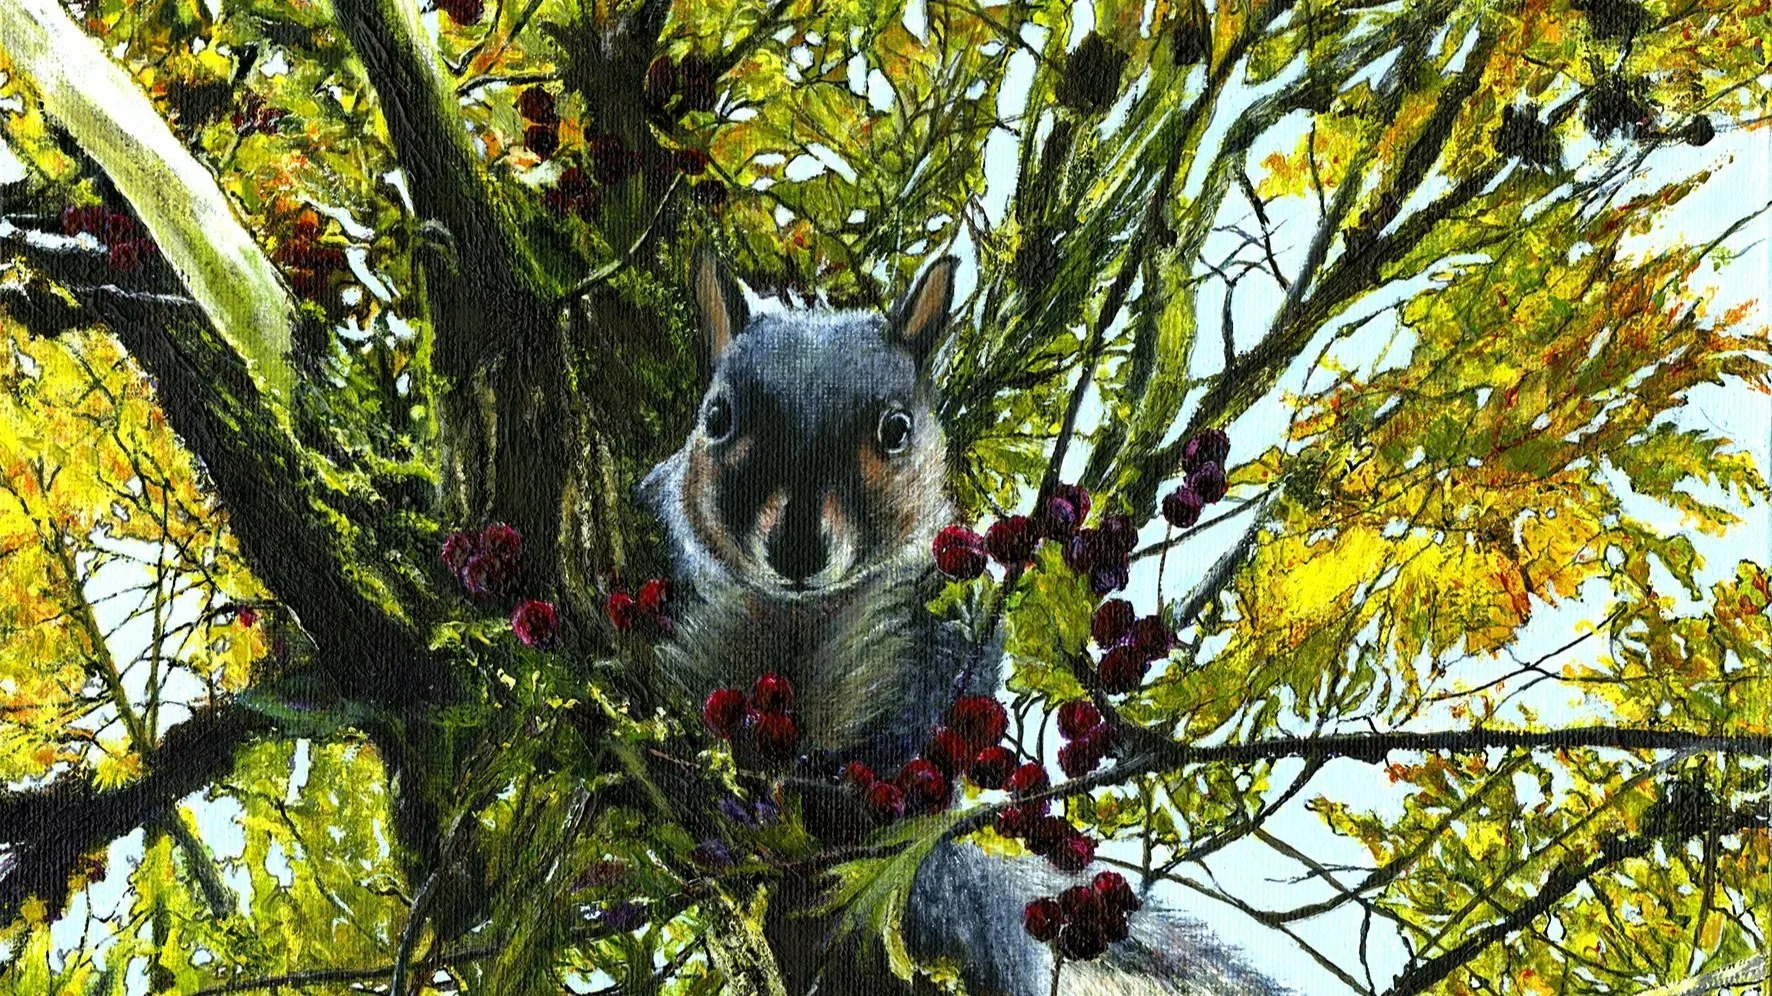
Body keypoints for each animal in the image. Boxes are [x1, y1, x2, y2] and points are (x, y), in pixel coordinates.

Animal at [642, 249, 1295, 996]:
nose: (798, 550)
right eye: (717, 417)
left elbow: (940, 710)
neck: (800, 613)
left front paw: (856, 777)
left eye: (896, 429)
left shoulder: (943, 613)